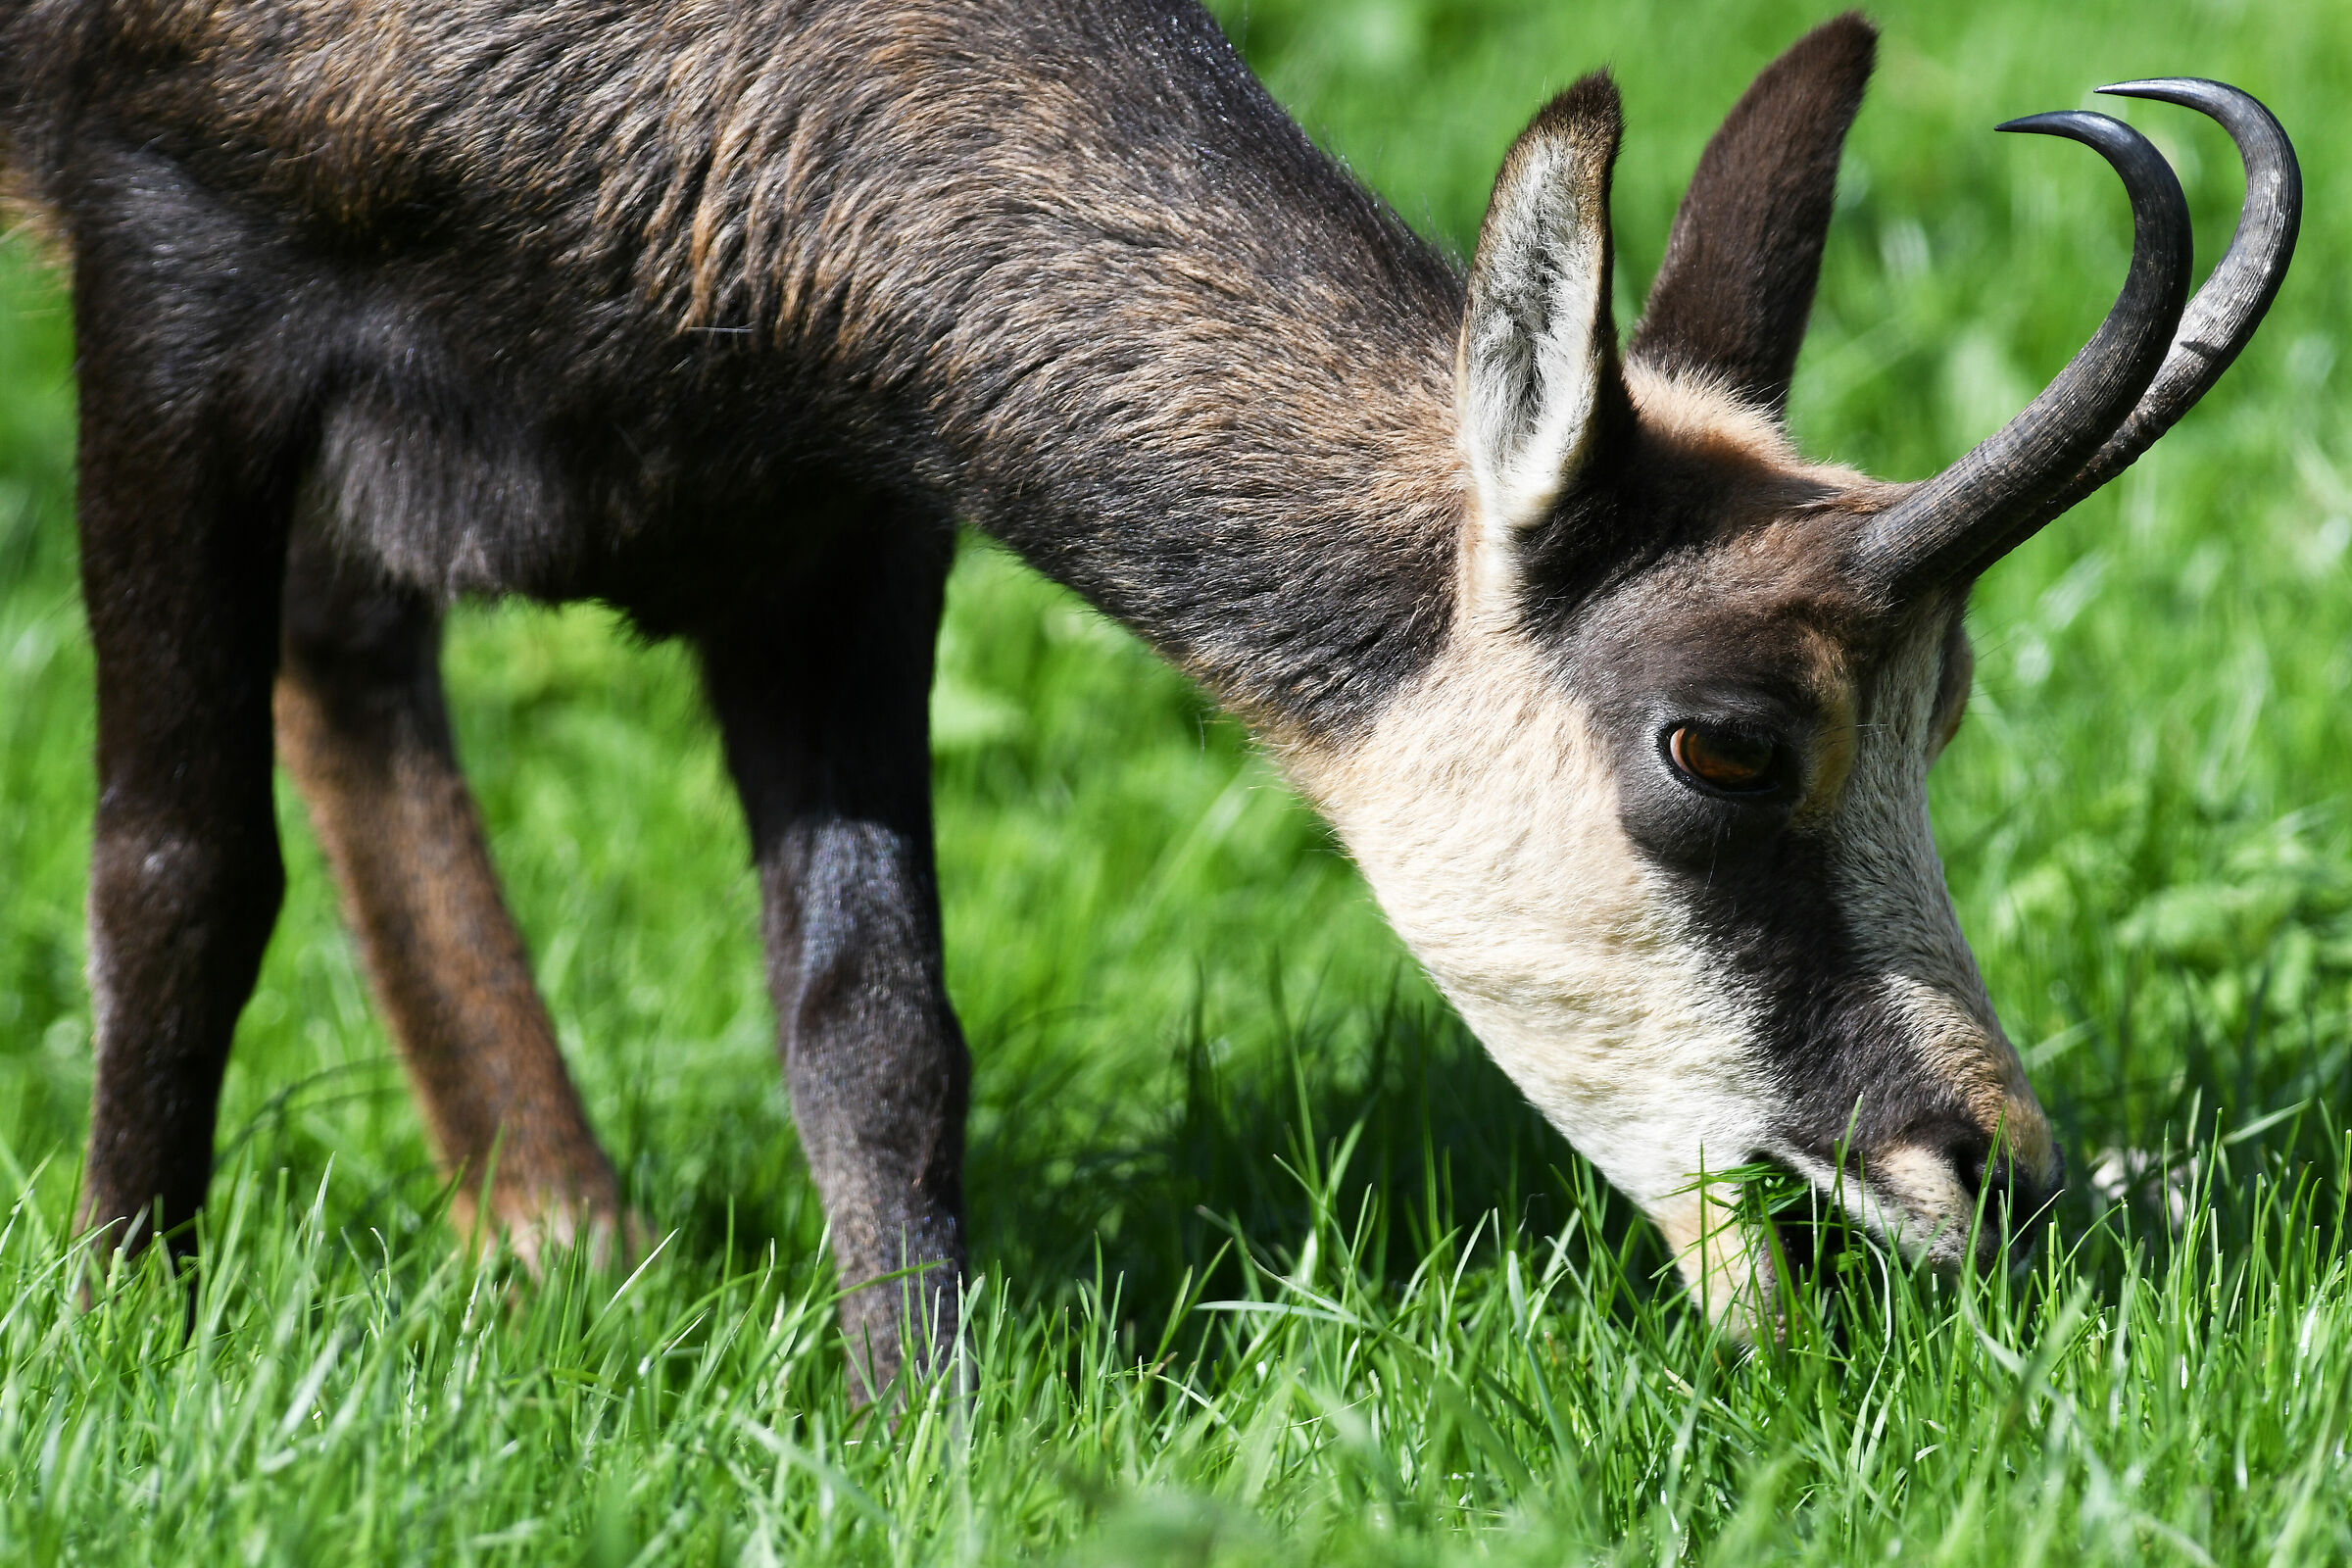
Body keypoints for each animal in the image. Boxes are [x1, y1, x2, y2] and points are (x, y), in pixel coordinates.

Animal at [0, 1, 2299, 1395]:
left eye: (1951, 709)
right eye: (1723, 739)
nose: (1984, 1173)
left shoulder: (842, 507)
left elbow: (873, 1009)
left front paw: (915, 1422)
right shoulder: (171, 267)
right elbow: (178, 868)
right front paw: (124, 1333)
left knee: (347, 638)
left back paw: (562, 1229)